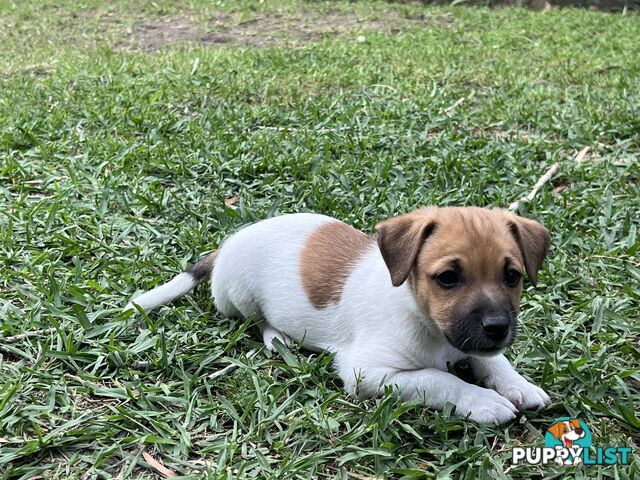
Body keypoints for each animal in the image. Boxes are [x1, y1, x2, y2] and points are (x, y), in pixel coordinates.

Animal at [125, 206, 552, 424]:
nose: (497, 328)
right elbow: (437, 379)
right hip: (241, 295)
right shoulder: (369, 372)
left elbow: (494, 361)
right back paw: (279, 338)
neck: (422, 318)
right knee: (258, 321)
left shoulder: (471, 344)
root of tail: (227, 244)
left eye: (512, 276)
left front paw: (519, 385)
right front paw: (482, 401)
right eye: (448, 278)